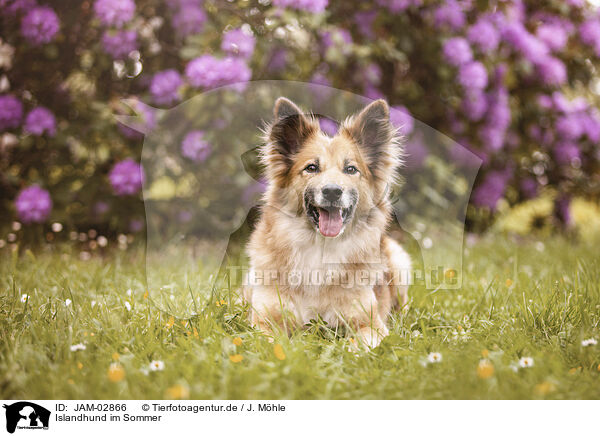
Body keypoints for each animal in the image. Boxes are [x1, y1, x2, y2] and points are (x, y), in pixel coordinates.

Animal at [245, 97, 412, 350]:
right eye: (311, 168)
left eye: (351, 169)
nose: (332, 191)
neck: (319, 249)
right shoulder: (264, 322)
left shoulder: (370, 325)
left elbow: (358, 344)